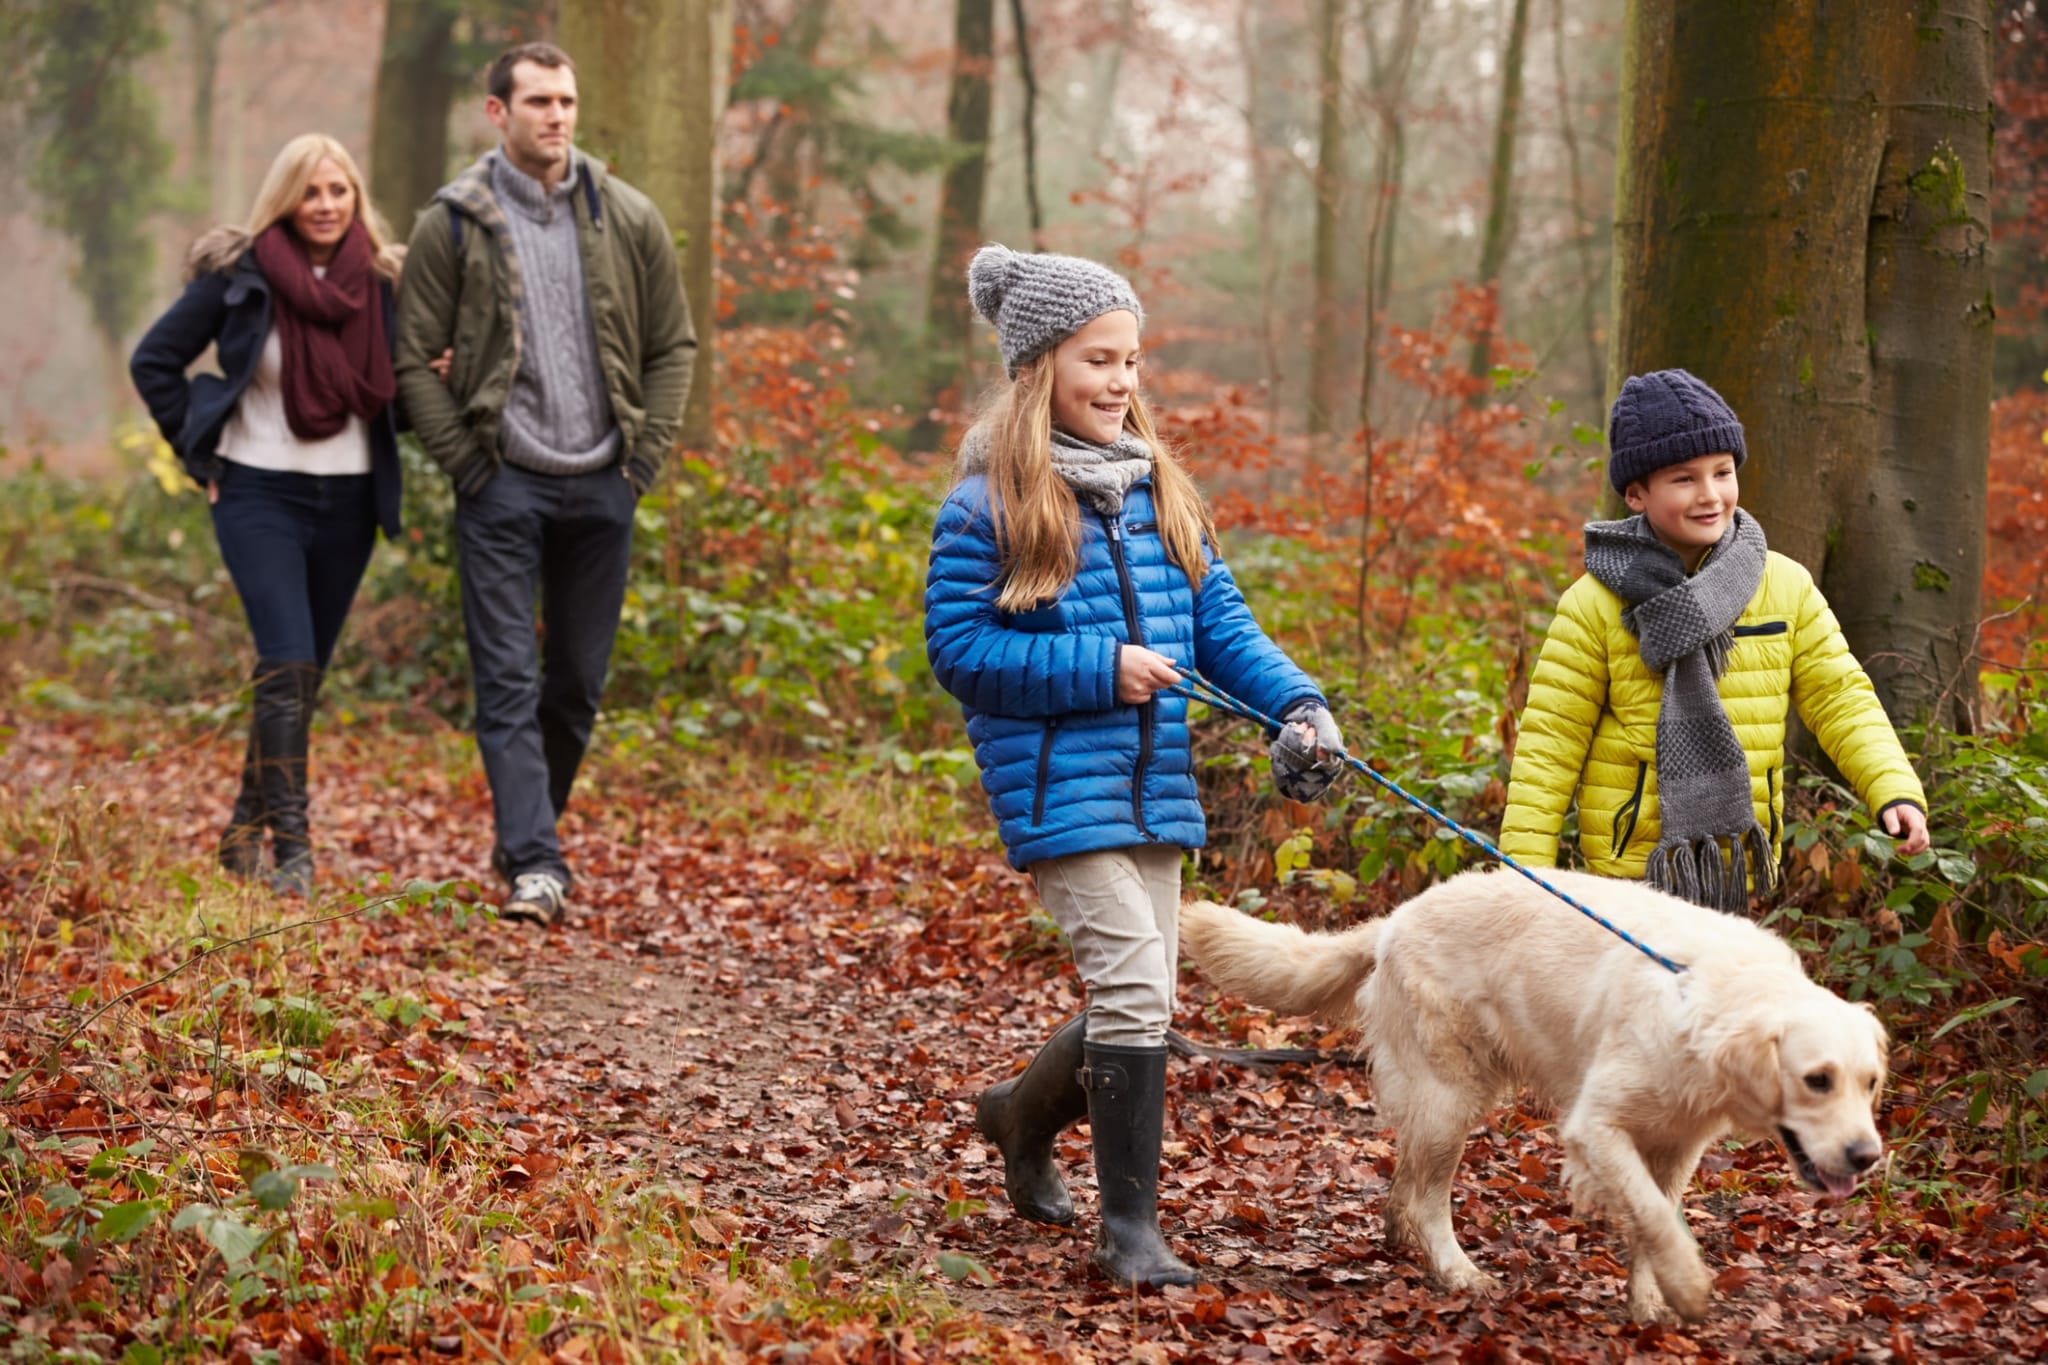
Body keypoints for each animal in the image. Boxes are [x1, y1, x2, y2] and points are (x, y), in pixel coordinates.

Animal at [1187, 863, 1884, 1326]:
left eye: (1870, 1082)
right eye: (1817, 1079)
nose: (1867, 1157)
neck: (1706, 998)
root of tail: (1397, 918)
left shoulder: (1675, 1147)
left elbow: (1653, 1220)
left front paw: (1649, 1300)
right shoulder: (1596, 1127)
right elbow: (1653, 1216)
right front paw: (1687, 1288)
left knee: (1404, 1185)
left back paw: (1404, 1242)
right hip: (1451, 1099)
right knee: (1428, 1199)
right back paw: (1457, 1271)